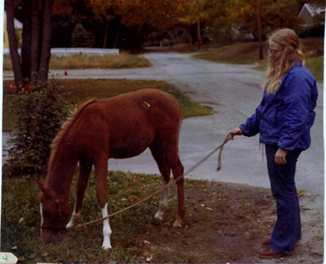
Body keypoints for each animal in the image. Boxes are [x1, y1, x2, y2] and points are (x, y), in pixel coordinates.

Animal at [37, 88, 185, 250]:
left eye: (48, 211)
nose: (44, 239)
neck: (85, 125)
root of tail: (172, 99)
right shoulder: (85, 160)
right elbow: (80, 187)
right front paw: (72, 222)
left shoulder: (100, 157)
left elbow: (101, 194)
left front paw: (106, 240)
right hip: (156, 145)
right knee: (165, 172)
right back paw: (159, 214)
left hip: (168, 143)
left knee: (178, 171)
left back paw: (179, 219)